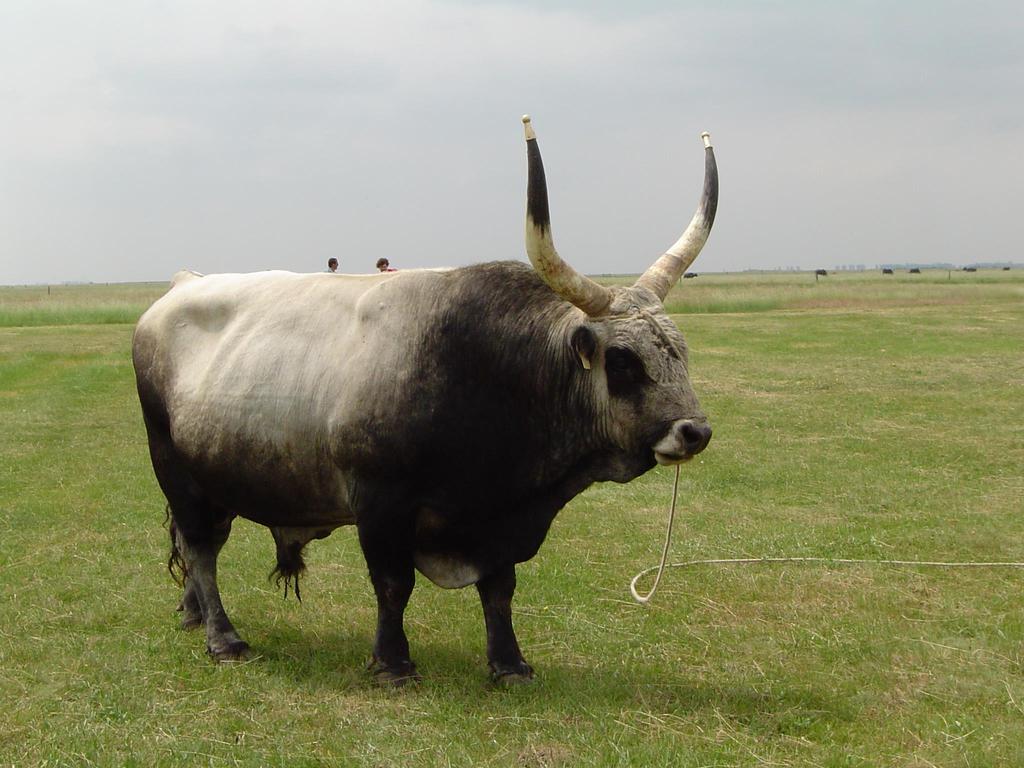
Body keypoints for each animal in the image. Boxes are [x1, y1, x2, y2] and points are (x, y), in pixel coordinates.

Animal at [130, 118, 720, 684]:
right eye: (621, 360)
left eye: (680, 352)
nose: (695, 431)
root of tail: (180, 286)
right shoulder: (381, 503)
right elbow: (393, 586)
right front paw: (393, 664)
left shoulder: (495, 518)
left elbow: (499, 589)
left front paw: (510, 665)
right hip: (172, 468)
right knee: (202, 547)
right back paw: (223, 638)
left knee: (202, 544)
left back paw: (194, 613)